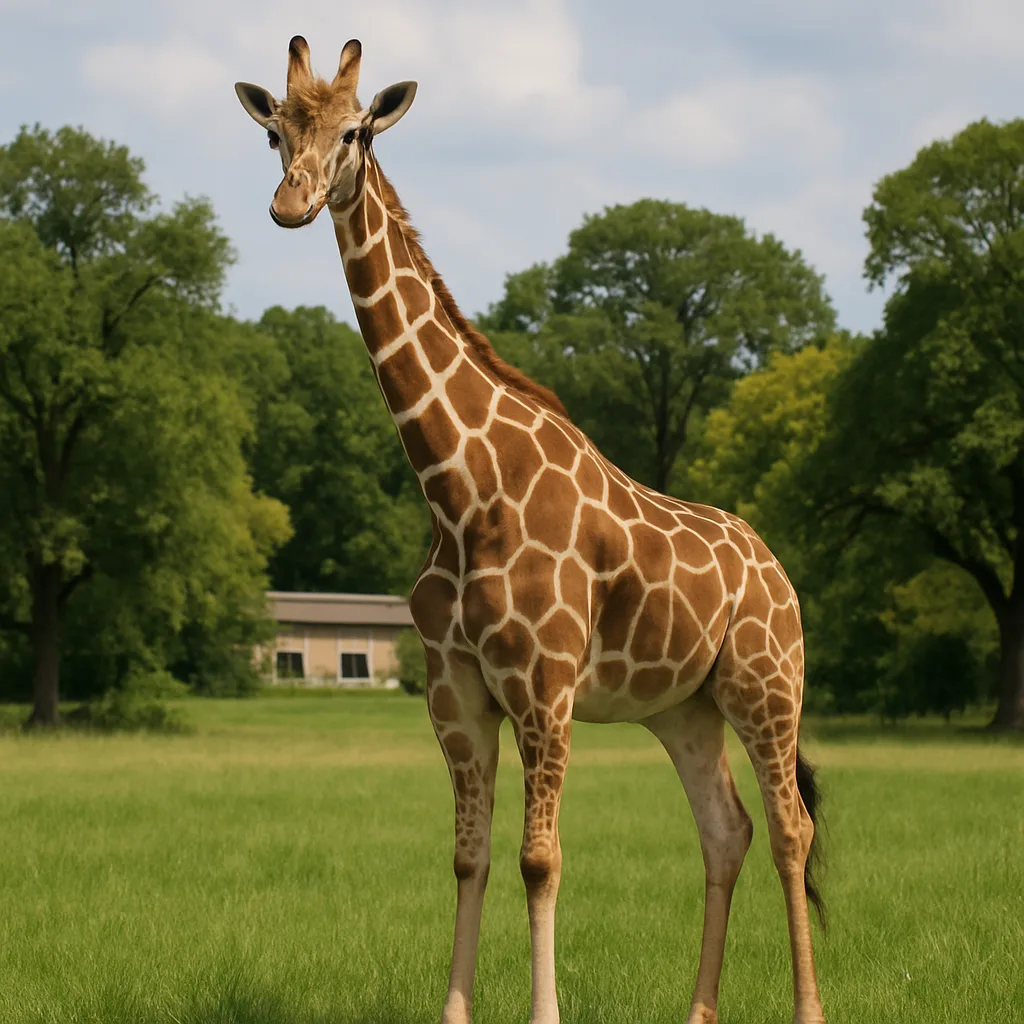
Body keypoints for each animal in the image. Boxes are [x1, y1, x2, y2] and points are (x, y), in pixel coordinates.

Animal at [235, 36, 826, 1024]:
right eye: (276, 129)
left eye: (356, 130)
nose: (291, 204)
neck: (458, 488)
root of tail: (778, 570)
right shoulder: (458, 691)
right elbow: (469, 858)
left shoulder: (545, 686)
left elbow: (539, 860)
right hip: (684, 709)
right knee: (726, 830)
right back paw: (698, 1012)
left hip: (766, 684)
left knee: (791, 828)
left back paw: (808, 1008)